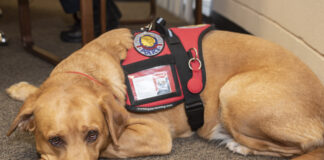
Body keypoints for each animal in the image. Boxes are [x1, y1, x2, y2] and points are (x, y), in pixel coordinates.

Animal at [6, 27, 324, 160]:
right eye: (55, 139)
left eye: (93, 135)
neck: (87, 71)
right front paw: (21, 89)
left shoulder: (155, 135)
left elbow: (111, 146)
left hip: (233, 92)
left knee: (298, 148)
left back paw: (240, 145)